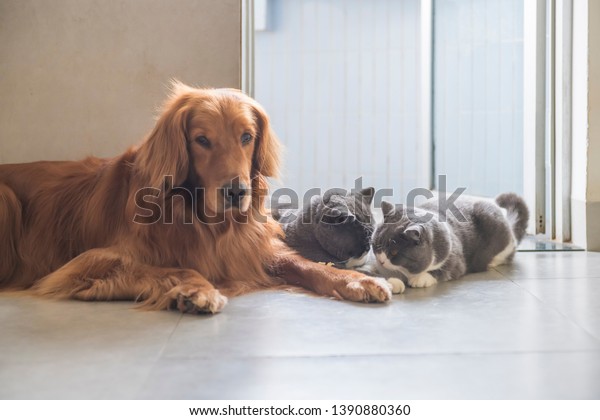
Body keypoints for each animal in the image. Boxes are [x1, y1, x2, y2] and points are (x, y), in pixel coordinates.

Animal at [372, 193, 528, 288]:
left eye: (394, 252)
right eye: (377, 244)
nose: (381, 260)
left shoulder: (456, 259)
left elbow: (445, 270)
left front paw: (420, 279)